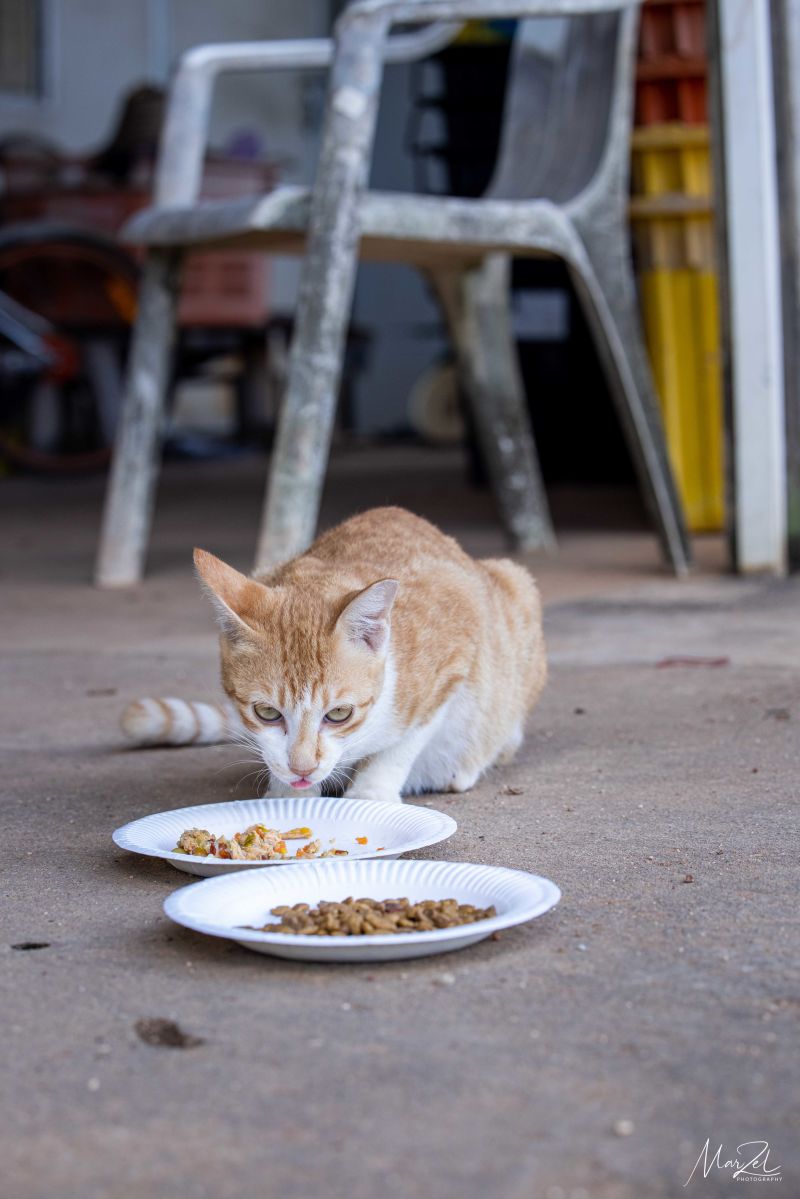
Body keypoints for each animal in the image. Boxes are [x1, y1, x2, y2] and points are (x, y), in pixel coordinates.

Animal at [122, 501, 546, 800]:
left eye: (339, 714)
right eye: (266, 713)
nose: (302, 769)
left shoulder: (456, 649)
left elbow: (403, 743)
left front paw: (371, 795)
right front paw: (287, 796)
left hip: (516, 585)